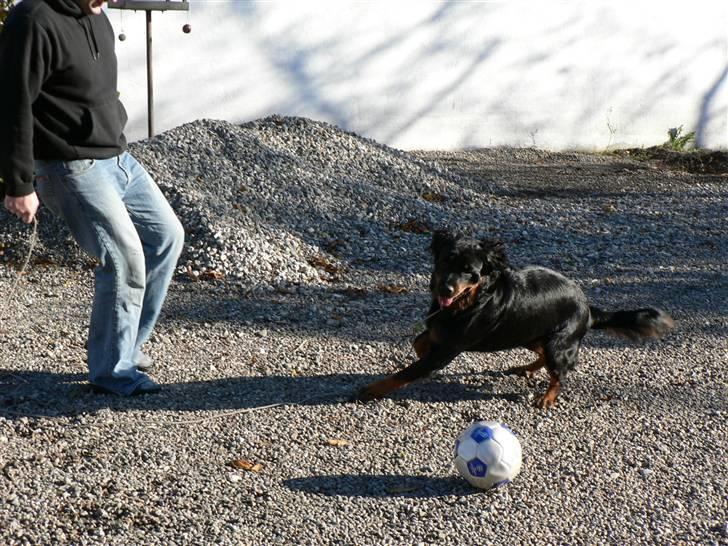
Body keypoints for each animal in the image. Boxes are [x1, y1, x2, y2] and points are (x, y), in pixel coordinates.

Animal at [356, 230, 672, 408]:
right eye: (445, 260)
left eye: (470, 271)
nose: (445, 289)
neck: (466, 302)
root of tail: (588, 308)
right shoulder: (438, 332)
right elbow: (420, 342)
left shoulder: (449, 349)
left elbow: (405, 372)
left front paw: (372, 389)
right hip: (527, 333)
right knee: (542, 355)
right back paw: (524, 368)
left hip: (559, 343)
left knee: (558, 372)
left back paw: (547, 398)